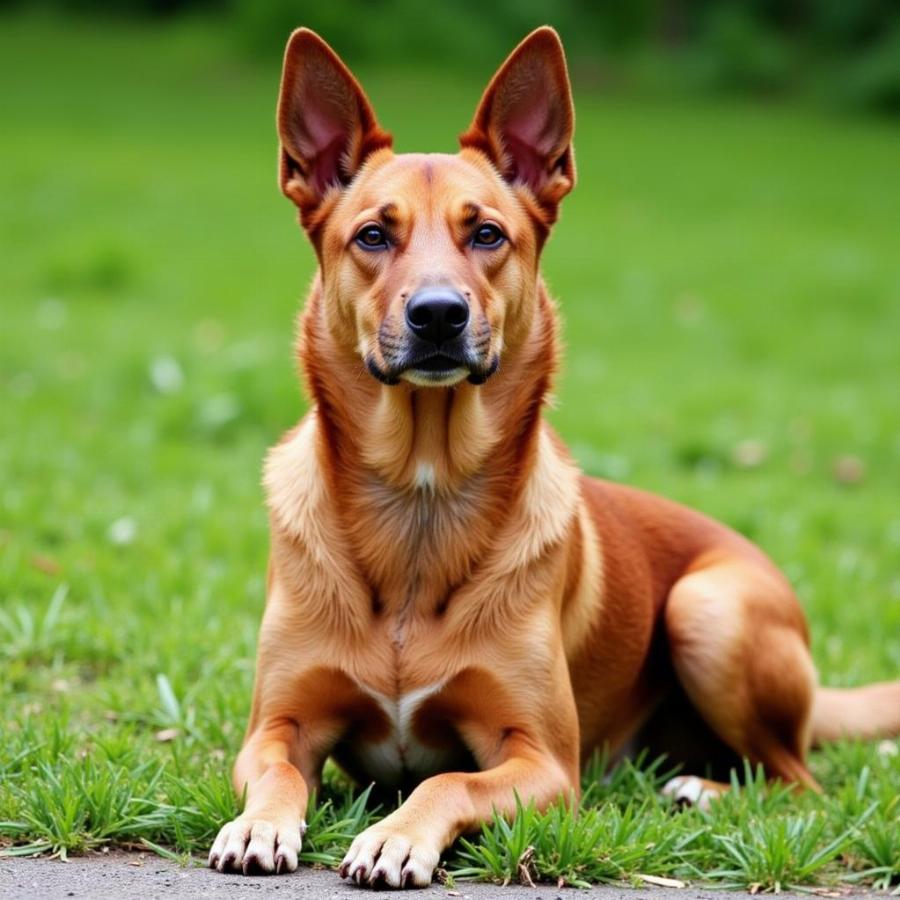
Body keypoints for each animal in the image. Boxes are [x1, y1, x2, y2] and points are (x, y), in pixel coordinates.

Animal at [206, 26, 900, 884]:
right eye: (372, 235)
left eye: (486, 234)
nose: (439, 314)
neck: (421, 500)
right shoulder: (279, 724)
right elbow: (275, 770)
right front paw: (258, 825)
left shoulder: (543, 762)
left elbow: (445, 780)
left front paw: (397, 834)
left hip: (708, 608)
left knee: (797, 780)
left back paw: (700, 790)